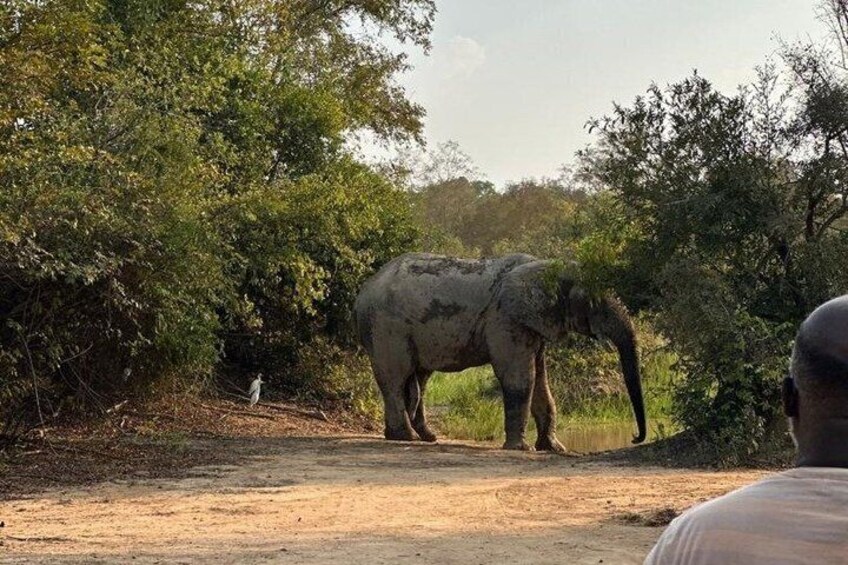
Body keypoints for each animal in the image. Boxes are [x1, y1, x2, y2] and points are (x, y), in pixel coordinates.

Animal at [353, 252, 646, 452]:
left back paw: (426, 437)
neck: (546, 267)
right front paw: (521, 449)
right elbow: (521, 379)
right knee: (396, 378)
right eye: (595, 303)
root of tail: (364, 291)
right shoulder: (506, 320)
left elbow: (541, 382)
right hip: (386, 328)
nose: (634, 437)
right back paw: (405, 437)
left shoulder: (532, 323)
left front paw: (554, 448)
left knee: (419, 379)